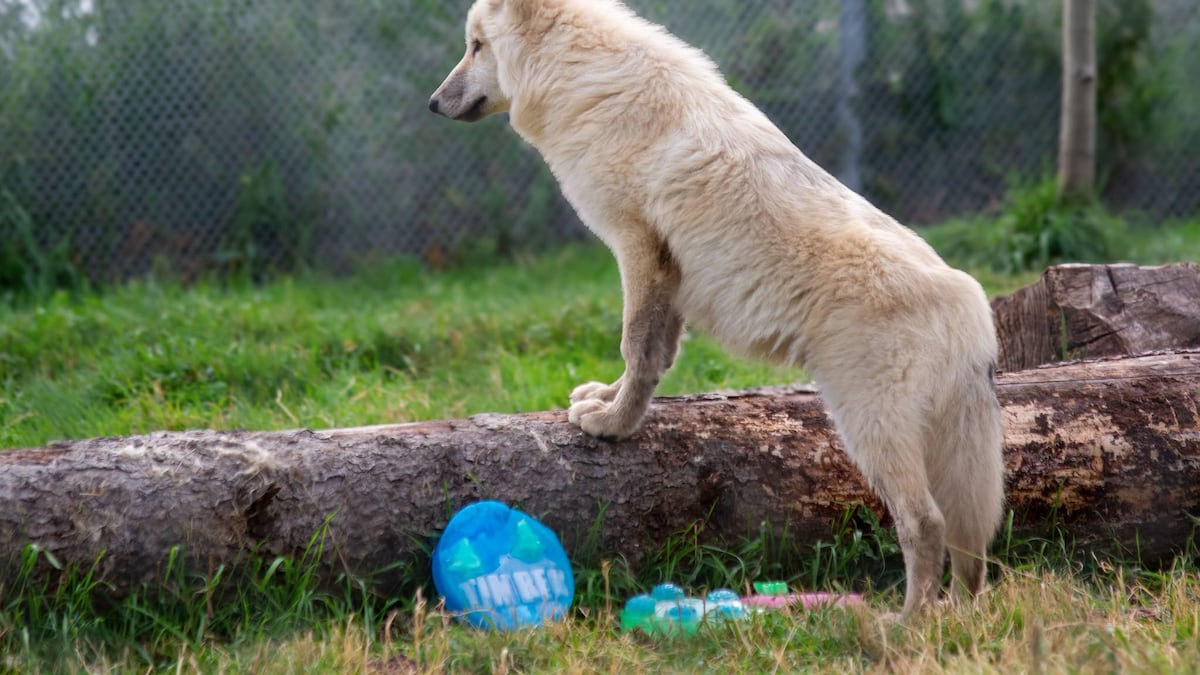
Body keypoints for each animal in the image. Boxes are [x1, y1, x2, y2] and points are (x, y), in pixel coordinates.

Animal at [429, 0, 1005, 619]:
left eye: (475, 46)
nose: (432, 103)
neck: (586, 76)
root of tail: (970, 305)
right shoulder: (666, 277)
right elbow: (651, 359)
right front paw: (606, 401)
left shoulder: (638, 251)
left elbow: (635, 347)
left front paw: (612, 427)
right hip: (942, 456)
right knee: (971, 553)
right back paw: (961, 614)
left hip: (870, 431)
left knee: (926, 526)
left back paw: (906, 621)